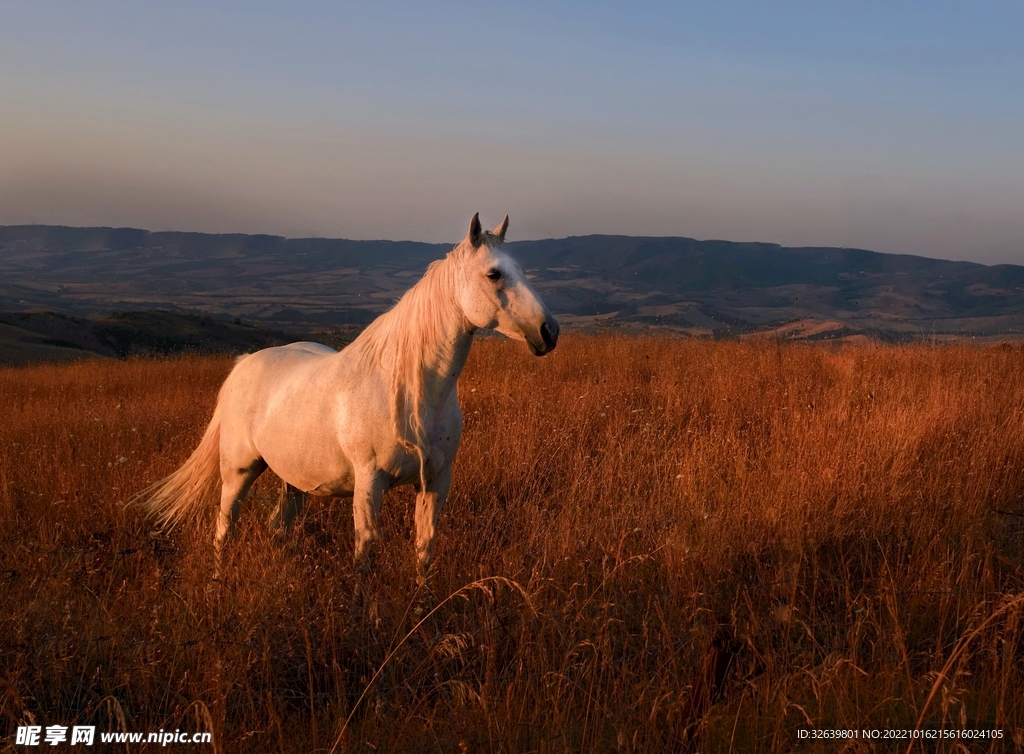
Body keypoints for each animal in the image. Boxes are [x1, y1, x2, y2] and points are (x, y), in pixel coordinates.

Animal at [140, 213, 561, 581]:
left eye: (522, 270)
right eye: (493, 274)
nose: (549, 331)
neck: (411, 394)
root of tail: (243, 364)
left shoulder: (436, 482)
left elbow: (424, 550)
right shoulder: (369, 483)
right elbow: (365, 554)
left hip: (294, 480)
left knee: (279, 526)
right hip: (238, 471)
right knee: (224, 528)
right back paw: (217, 583)